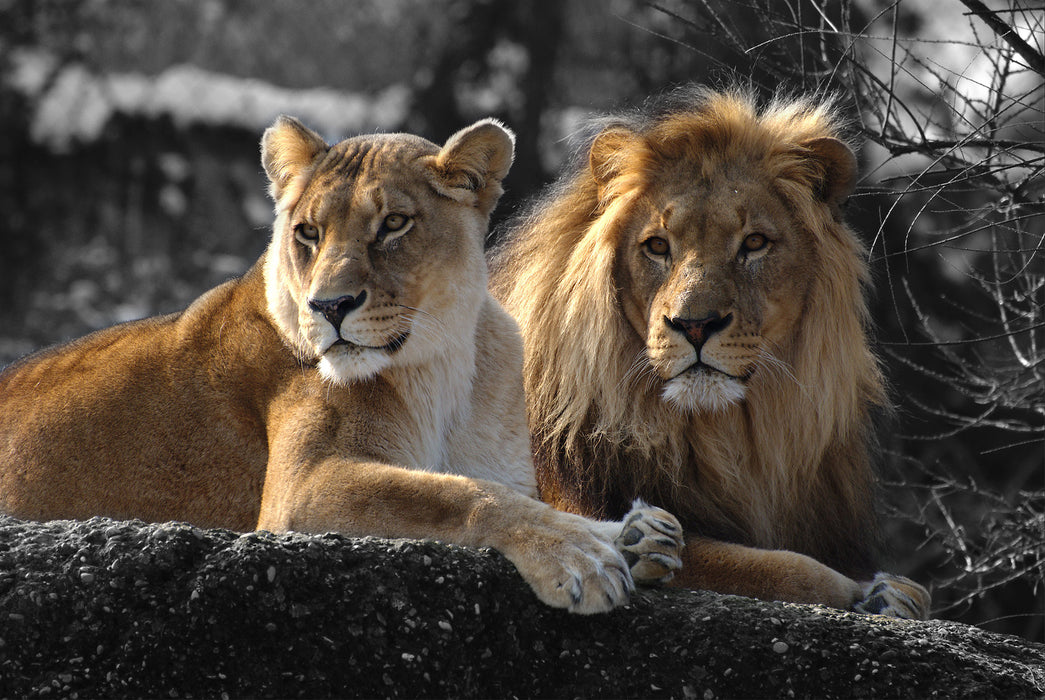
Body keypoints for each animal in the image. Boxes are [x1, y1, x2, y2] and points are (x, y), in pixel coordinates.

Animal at [0, 114, 685, 614]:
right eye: (307, 233)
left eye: (394, 224)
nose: (328, 306)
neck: (445, 360)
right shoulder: (302, 488)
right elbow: (458, 494)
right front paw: (578, 552)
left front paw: (635, 536)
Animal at [489, 87, 932, 618]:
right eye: (657, 246)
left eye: (755, 242)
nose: (694, 324)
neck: (723, 435)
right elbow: (771, 566)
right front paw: (871, 593)